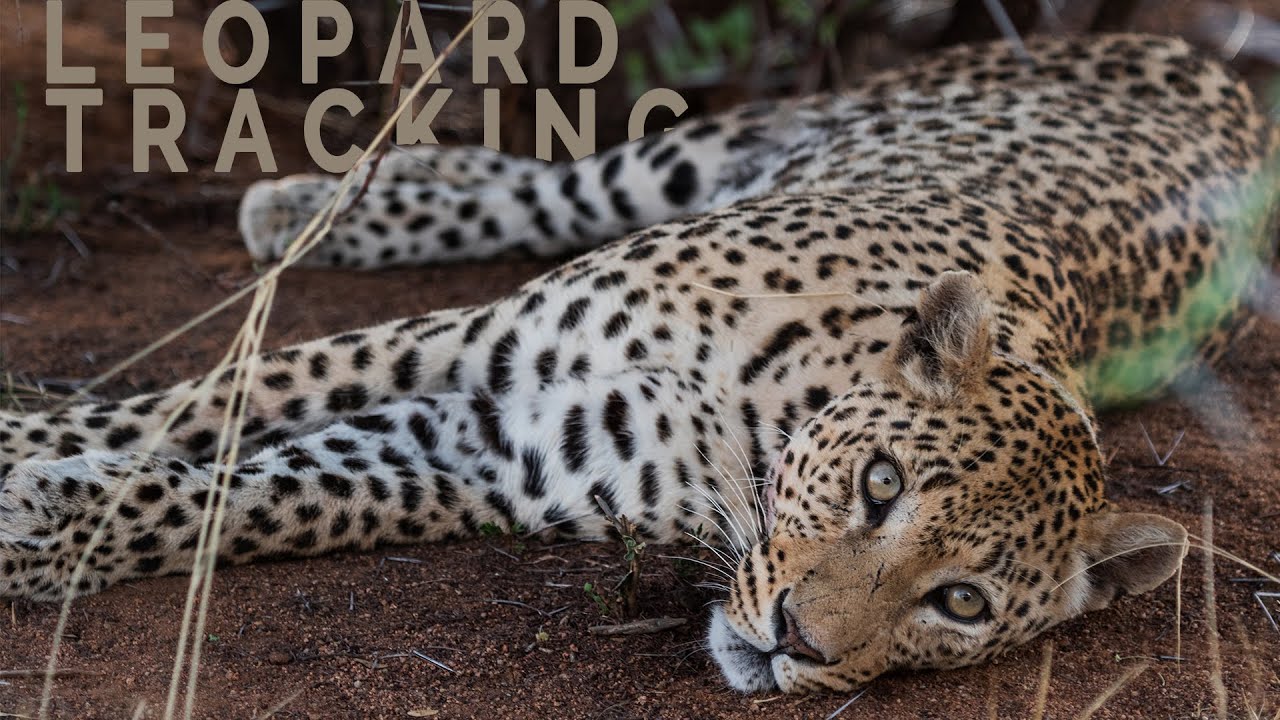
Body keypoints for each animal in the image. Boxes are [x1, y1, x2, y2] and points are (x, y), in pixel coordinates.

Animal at [1, 33, 1277, 694]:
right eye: (878, 487)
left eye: (957, 604)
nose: (799, 645)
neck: (751, 431)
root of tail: (1211, 64)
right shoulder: (477, 343)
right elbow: (193, 410)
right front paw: (29, 455)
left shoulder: (491, 450)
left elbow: (263, 497)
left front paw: (52, 529)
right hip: (725, 146)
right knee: (569, 179)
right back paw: (324, 200)